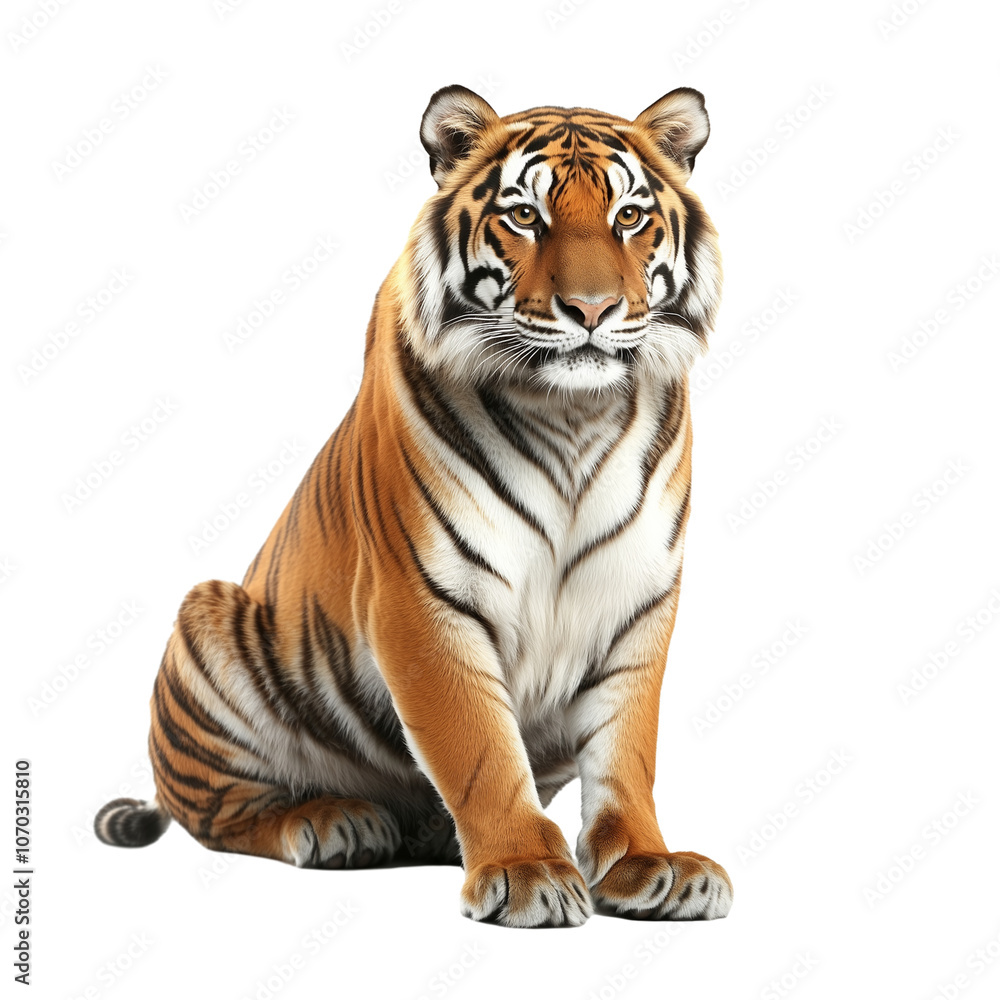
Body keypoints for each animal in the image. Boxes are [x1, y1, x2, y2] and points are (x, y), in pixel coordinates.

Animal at [95, 84, 733, 927]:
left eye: (629, 217)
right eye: (524, 216)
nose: (591, 310)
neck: (572, 413)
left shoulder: (638, 596)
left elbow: (627, 748)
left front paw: (648, 864)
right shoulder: (422, 598)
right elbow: (479, 747)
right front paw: (525, 871)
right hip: (208, 630)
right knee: (217, 811)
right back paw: (332, 821)